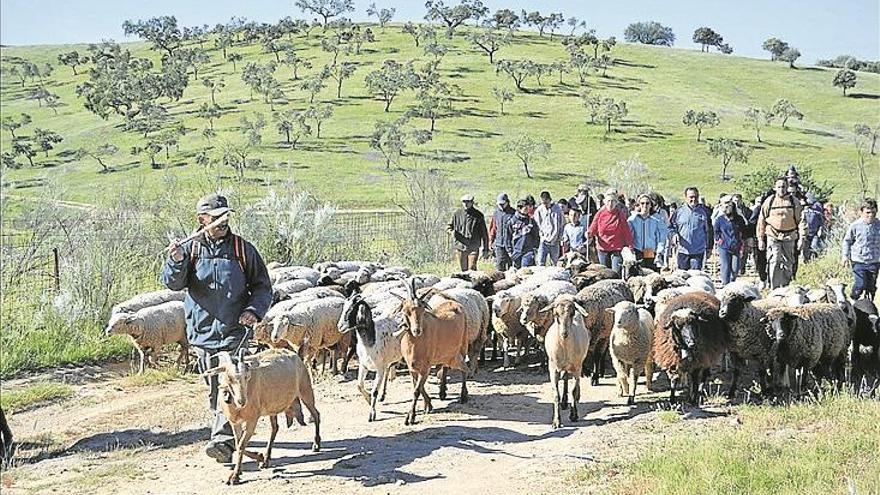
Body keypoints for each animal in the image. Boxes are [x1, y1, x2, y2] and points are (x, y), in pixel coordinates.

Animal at [202, 348, 320, 484]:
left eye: (247, 376)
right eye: (229, 377)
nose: (242, 401)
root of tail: (294, 354)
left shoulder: (252, 420)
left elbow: (241, 444)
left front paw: (234, 476)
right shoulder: (234, 422)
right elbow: (238, 443)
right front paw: (259, 457)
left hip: (305, 389)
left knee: (316, 414)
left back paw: (316, 445)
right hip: (272, 408)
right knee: (275, 428)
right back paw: (266, 459)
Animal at [338, 294, 404, 422]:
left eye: (350, 310)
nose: (339, 326)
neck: (371, 339)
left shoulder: (379, 368)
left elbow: (374, 391)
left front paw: (372, 414)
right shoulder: (364, 365)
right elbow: (359, 385)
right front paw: (369, 400)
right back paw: (383, 396)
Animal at [396, 280, 470, 424]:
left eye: (422, 309)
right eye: (406, 311)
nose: (416, 330)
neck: (415, 343)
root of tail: (455, 304)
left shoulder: (426, 366)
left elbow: (416, 390)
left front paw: (411, 417)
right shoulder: (412, 367)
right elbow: (418, 387)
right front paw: (428, 406)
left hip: (463, 346)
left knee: (465, 369)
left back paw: (463, 396)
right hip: (449, 355)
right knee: (452, 367)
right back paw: (443, 393)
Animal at [540, 294, 588, 430]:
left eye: (572, 313)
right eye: (556, 314)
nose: (564, 333)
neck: (564, 346)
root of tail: (566, 295)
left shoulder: (577, 368)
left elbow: (574, 390)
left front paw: (574, 415)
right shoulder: (552, 369)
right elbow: (555, 394)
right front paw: (556, 421)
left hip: (577, 365)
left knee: (574, 384)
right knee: (566, 378)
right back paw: (564, 402)